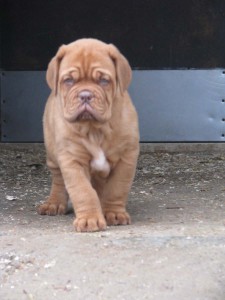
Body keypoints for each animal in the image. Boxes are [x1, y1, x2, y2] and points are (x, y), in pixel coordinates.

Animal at [37, 38, 139, 232]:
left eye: (104, 80)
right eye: (69, 80)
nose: (85, 95)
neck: (94, 129)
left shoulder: (126, 158)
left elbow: (117, 188)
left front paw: (114, 213)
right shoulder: (72, 160)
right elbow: (83, 191)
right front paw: (89, 219)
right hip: (53, 155)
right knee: (58, 180)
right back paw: (54, 203)